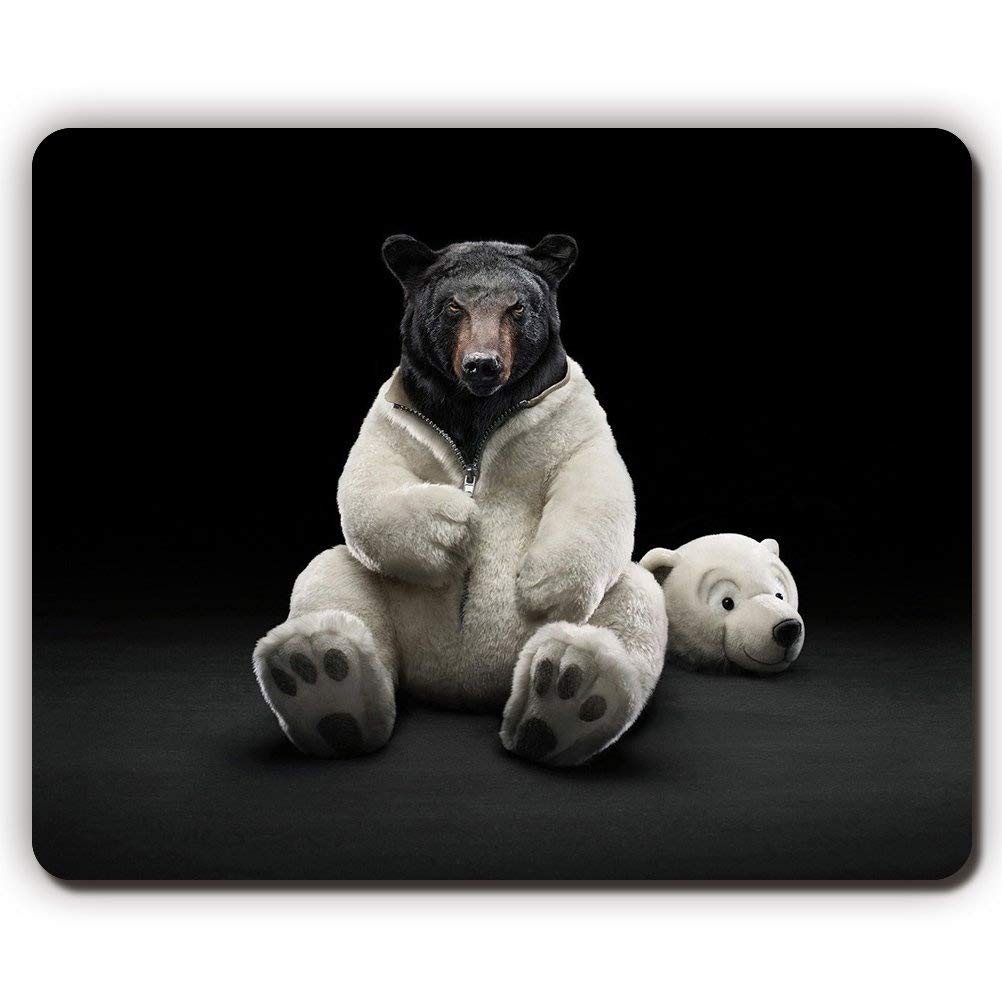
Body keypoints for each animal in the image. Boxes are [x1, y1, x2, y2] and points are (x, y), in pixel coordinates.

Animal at [253, 235, 668, 766]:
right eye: (454, 307)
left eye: (517, 308)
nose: (482, 365)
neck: (476, 410)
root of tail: (462, 688)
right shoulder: (395, 417)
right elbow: (369, 480)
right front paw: (455, 526)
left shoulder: (569, 415)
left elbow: (595, 479)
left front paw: (541, 584)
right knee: (332, 578)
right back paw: (321, 680)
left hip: (608, 605)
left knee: (632, 601)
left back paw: (567, 695)